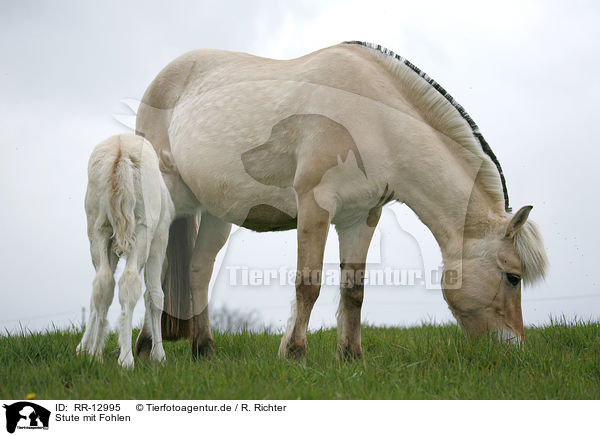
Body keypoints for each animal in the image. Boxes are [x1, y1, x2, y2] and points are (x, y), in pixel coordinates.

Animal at [134, 41, 548, 360]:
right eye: (513, 277)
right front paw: (294, 353)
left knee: (197, 269)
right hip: (164, 201)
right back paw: (147, 349)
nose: (515, 347)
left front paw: (350, 355)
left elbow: (354, 290)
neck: (374, 120)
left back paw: (203, 349)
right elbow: (309, 284)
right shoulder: (314, 208)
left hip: (216, 213)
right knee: (152, 268)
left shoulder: (360, 217)